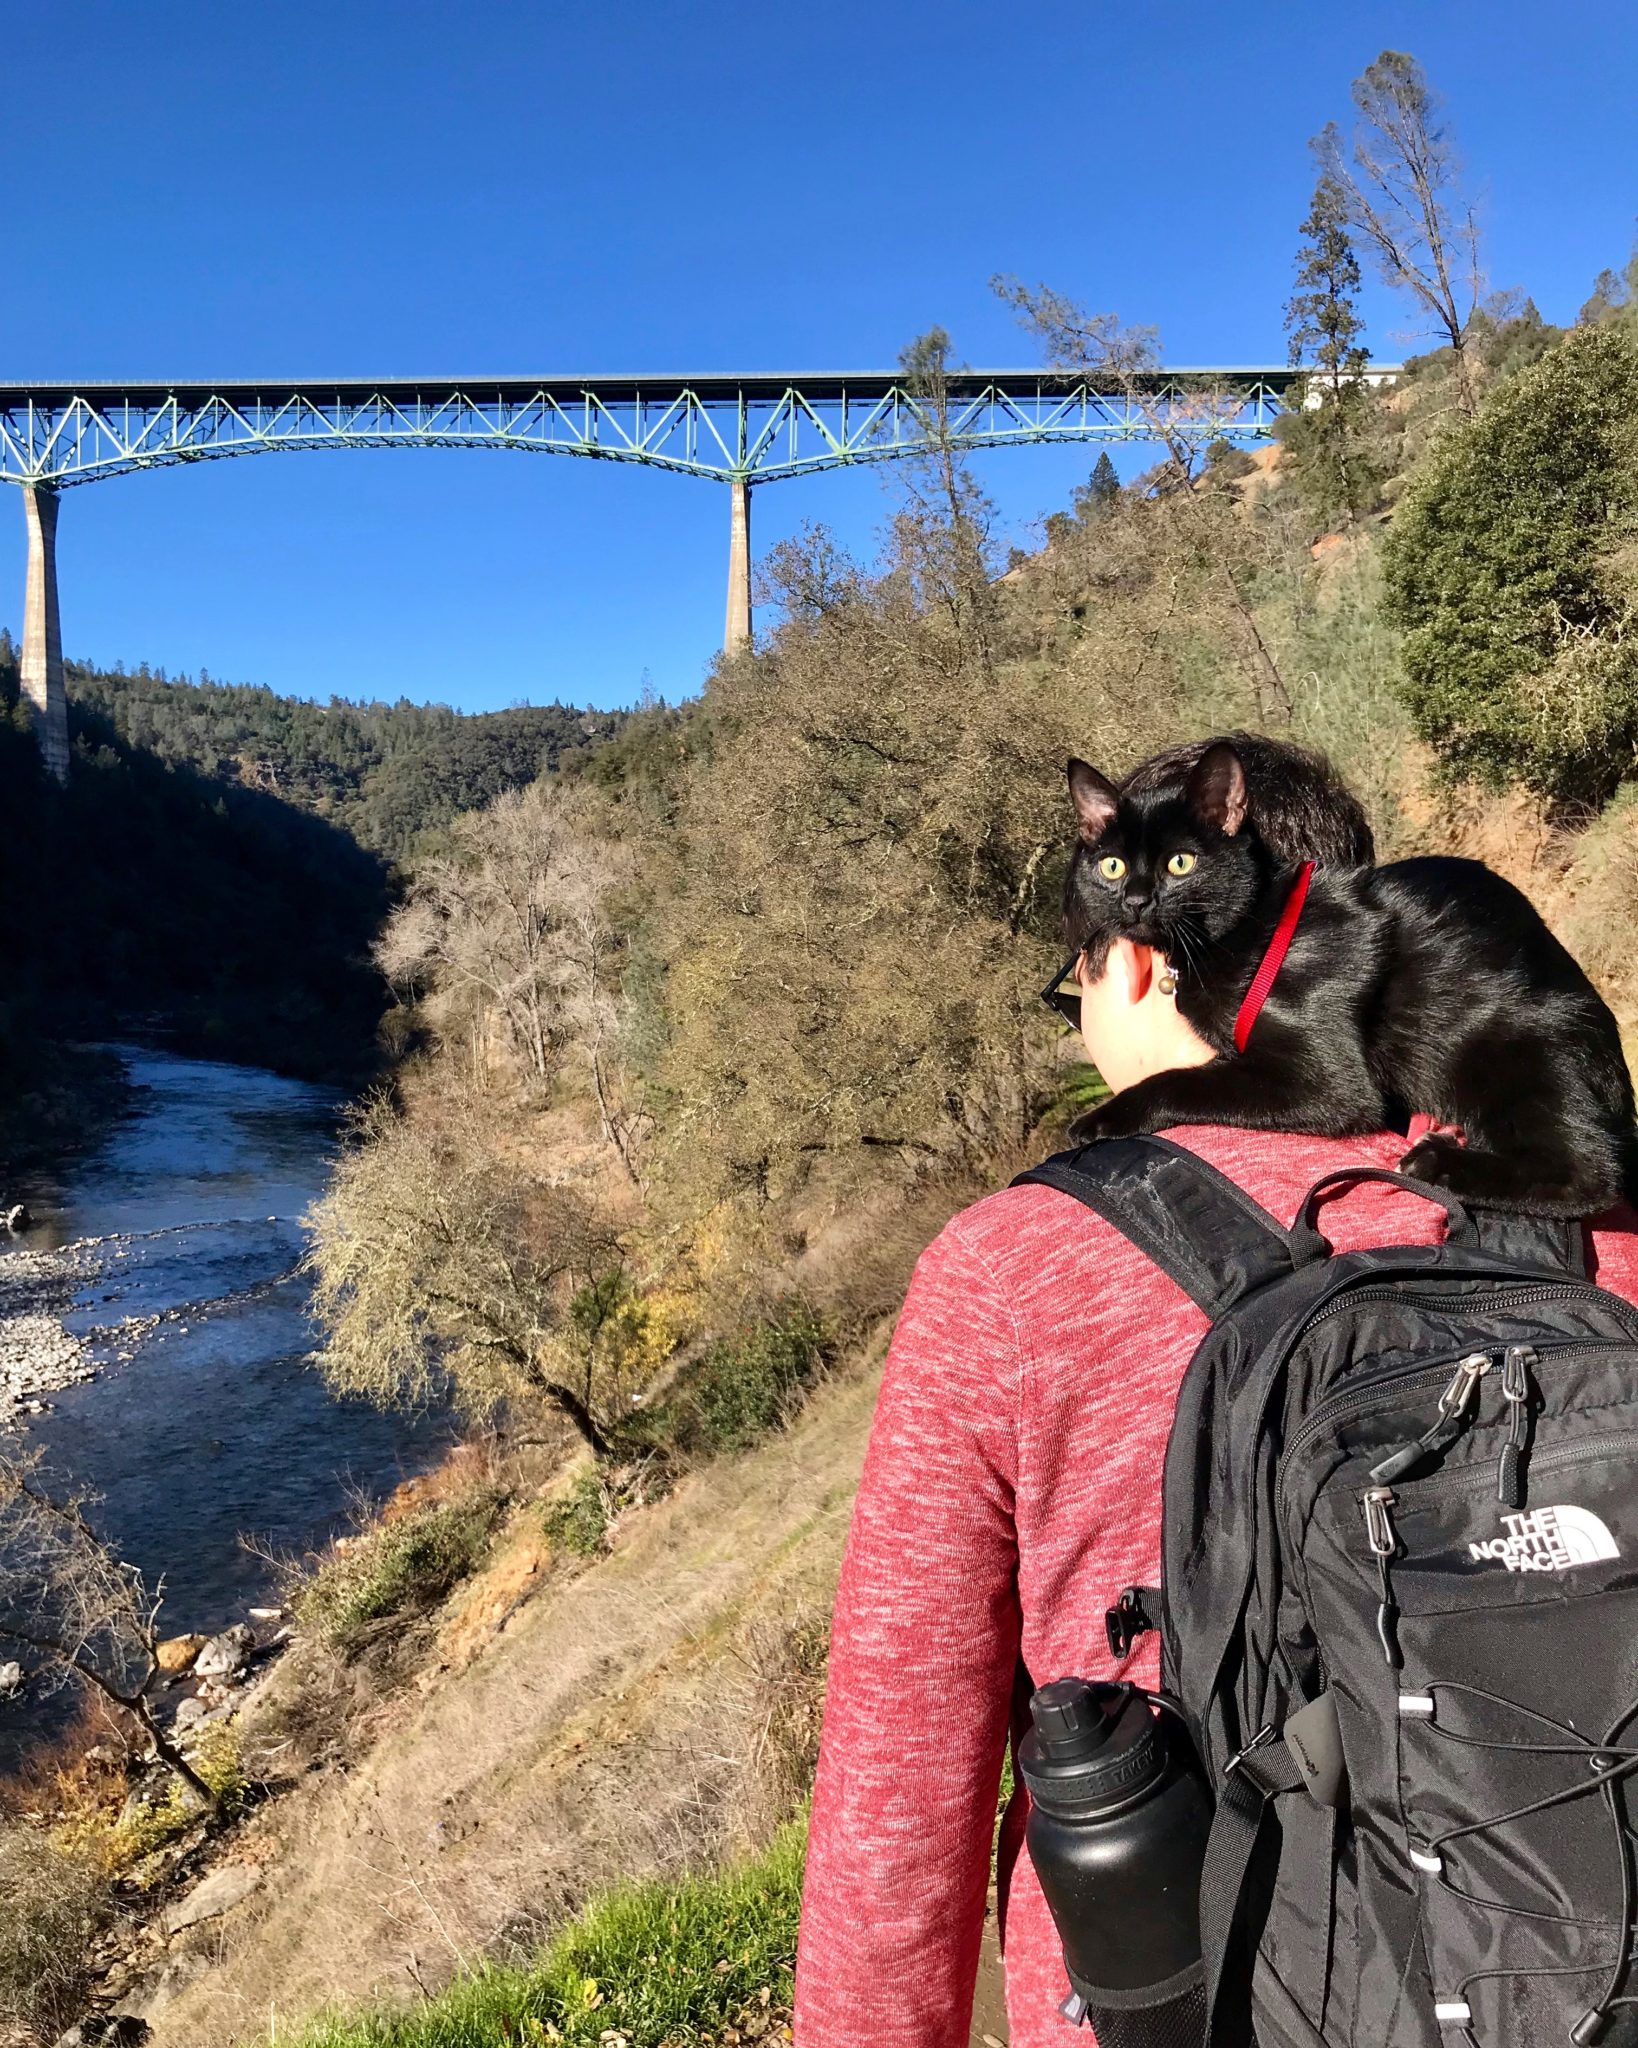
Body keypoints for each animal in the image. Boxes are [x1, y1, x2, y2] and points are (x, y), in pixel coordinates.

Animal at [1064, 737, 1637, 1212]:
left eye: (1180, 863)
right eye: (1112, 867)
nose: (1136, 900)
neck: (1245, 934)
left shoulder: (1329, 1084)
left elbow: (1184, 1080)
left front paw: (1104, 1117)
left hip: (1510, 1046)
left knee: (1592, 1175)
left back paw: (1435, 1162)